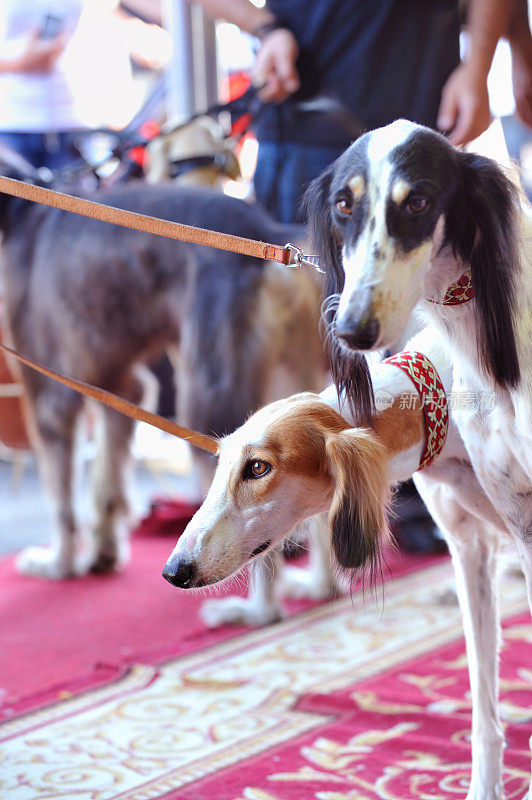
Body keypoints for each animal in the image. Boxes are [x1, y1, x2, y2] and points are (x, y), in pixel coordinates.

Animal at [0, 152, 326, 588]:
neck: (18, 214)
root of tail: (267, 232)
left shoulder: (49, 394)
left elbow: (61, 498)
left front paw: (59, 564)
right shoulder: (119, 386)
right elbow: (108, 481)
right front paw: (103, 554)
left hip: (217, 406)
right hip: (298, 392)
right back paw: (321, 586)